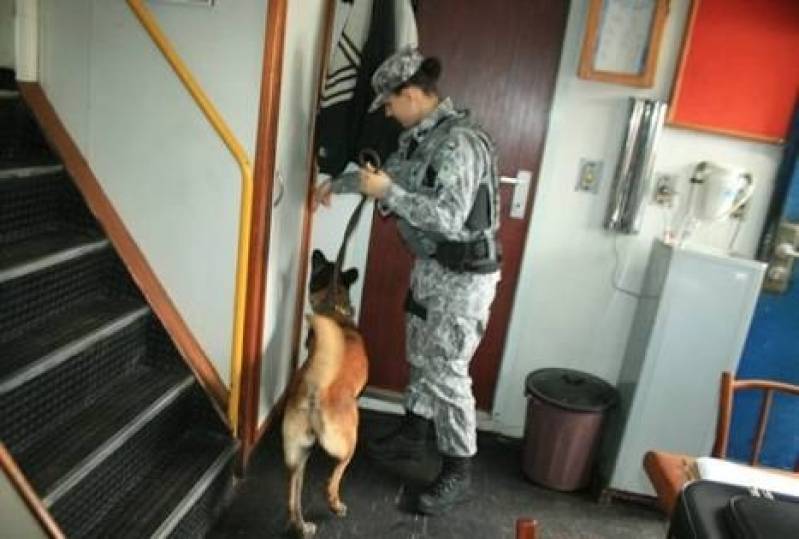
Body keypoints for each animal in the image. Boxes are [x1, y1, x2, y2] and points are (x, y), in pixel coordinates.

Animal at [282, 251, 368, 536]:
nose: (316, 253)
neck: (334, 310)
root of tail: (315, 387)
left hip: (298, 452)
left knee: (293, 498)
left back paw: (303, 527)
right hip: (348, 440)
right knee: (333, 478)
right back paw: (335, 504)